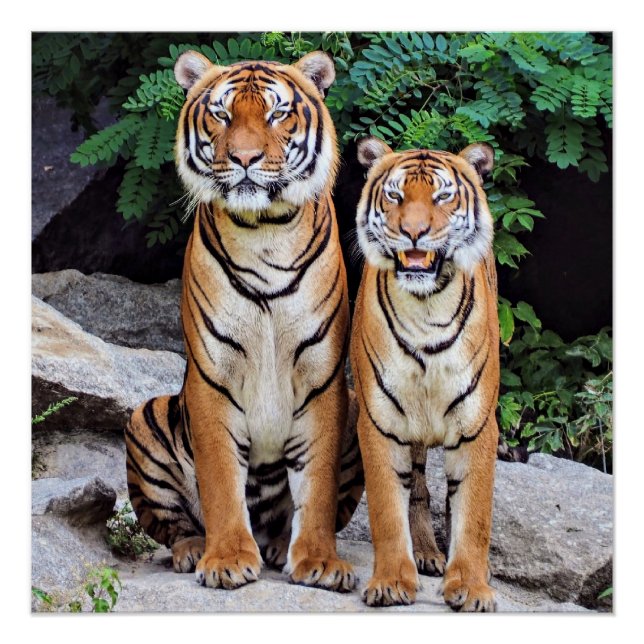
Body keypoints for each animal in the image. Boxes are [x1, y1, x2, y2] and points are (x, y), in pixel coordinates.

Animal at [125, 50, 364, 593]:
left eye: (277, 114)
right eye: (222, 114)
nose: (245, 159)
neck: (265, 231)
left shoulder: (323, 379)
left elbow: (316, 486)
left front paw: (319, 560)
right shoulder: (212, 376)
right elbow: (219, 479)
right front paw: (228, 558)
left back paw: (278, 546)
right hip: (145, 416)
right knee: (173, 525)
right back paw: (194, 549)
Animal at [349, 136, 500, 611]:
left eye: (442, 196)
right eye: (395, 196)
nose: (413, 232)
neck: (426, 308)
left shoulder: (477, 425)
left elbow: (473, 513)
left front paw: (471, 587)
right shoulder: (379, 421)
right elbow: (386, 507)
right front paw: (392, 581)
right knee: (417, 488)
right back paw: (427, 555)